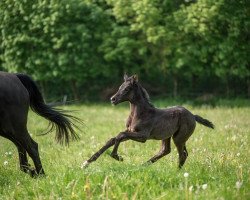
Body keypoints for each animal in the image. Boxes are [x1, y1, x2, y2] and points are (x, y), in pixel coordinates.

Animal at [82, 74, 215, 168]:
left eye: (127, 89)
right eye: (120, 87)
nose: (112, 99)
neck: (140, 114)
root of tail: (192, 115)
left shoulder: (143, 136)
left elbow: (120, 135)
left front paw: (117, 157)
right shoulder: (131, 131)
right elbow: (113, 139)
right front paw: (87, 162)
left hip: (179, 138)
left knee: (182, 154)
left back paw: (176, 171)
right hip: (168, 136)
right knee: (166, 150)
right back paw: (142, 166)